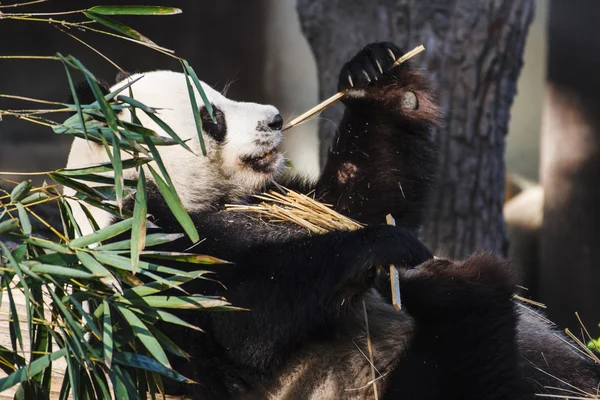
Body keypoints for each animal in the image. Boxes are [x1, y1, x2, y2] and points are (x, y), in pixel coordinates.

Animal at [63, 42, 596, 398]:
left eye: (218, 94)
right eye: (211, 116)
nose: (276, 119)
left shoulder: (277, 197)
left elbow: (356, 197)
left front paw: (374, 76)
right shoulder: (146, 258)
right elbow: (247, 317)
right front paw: (384, 245)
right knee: (461, 360)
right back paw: (463, 286)